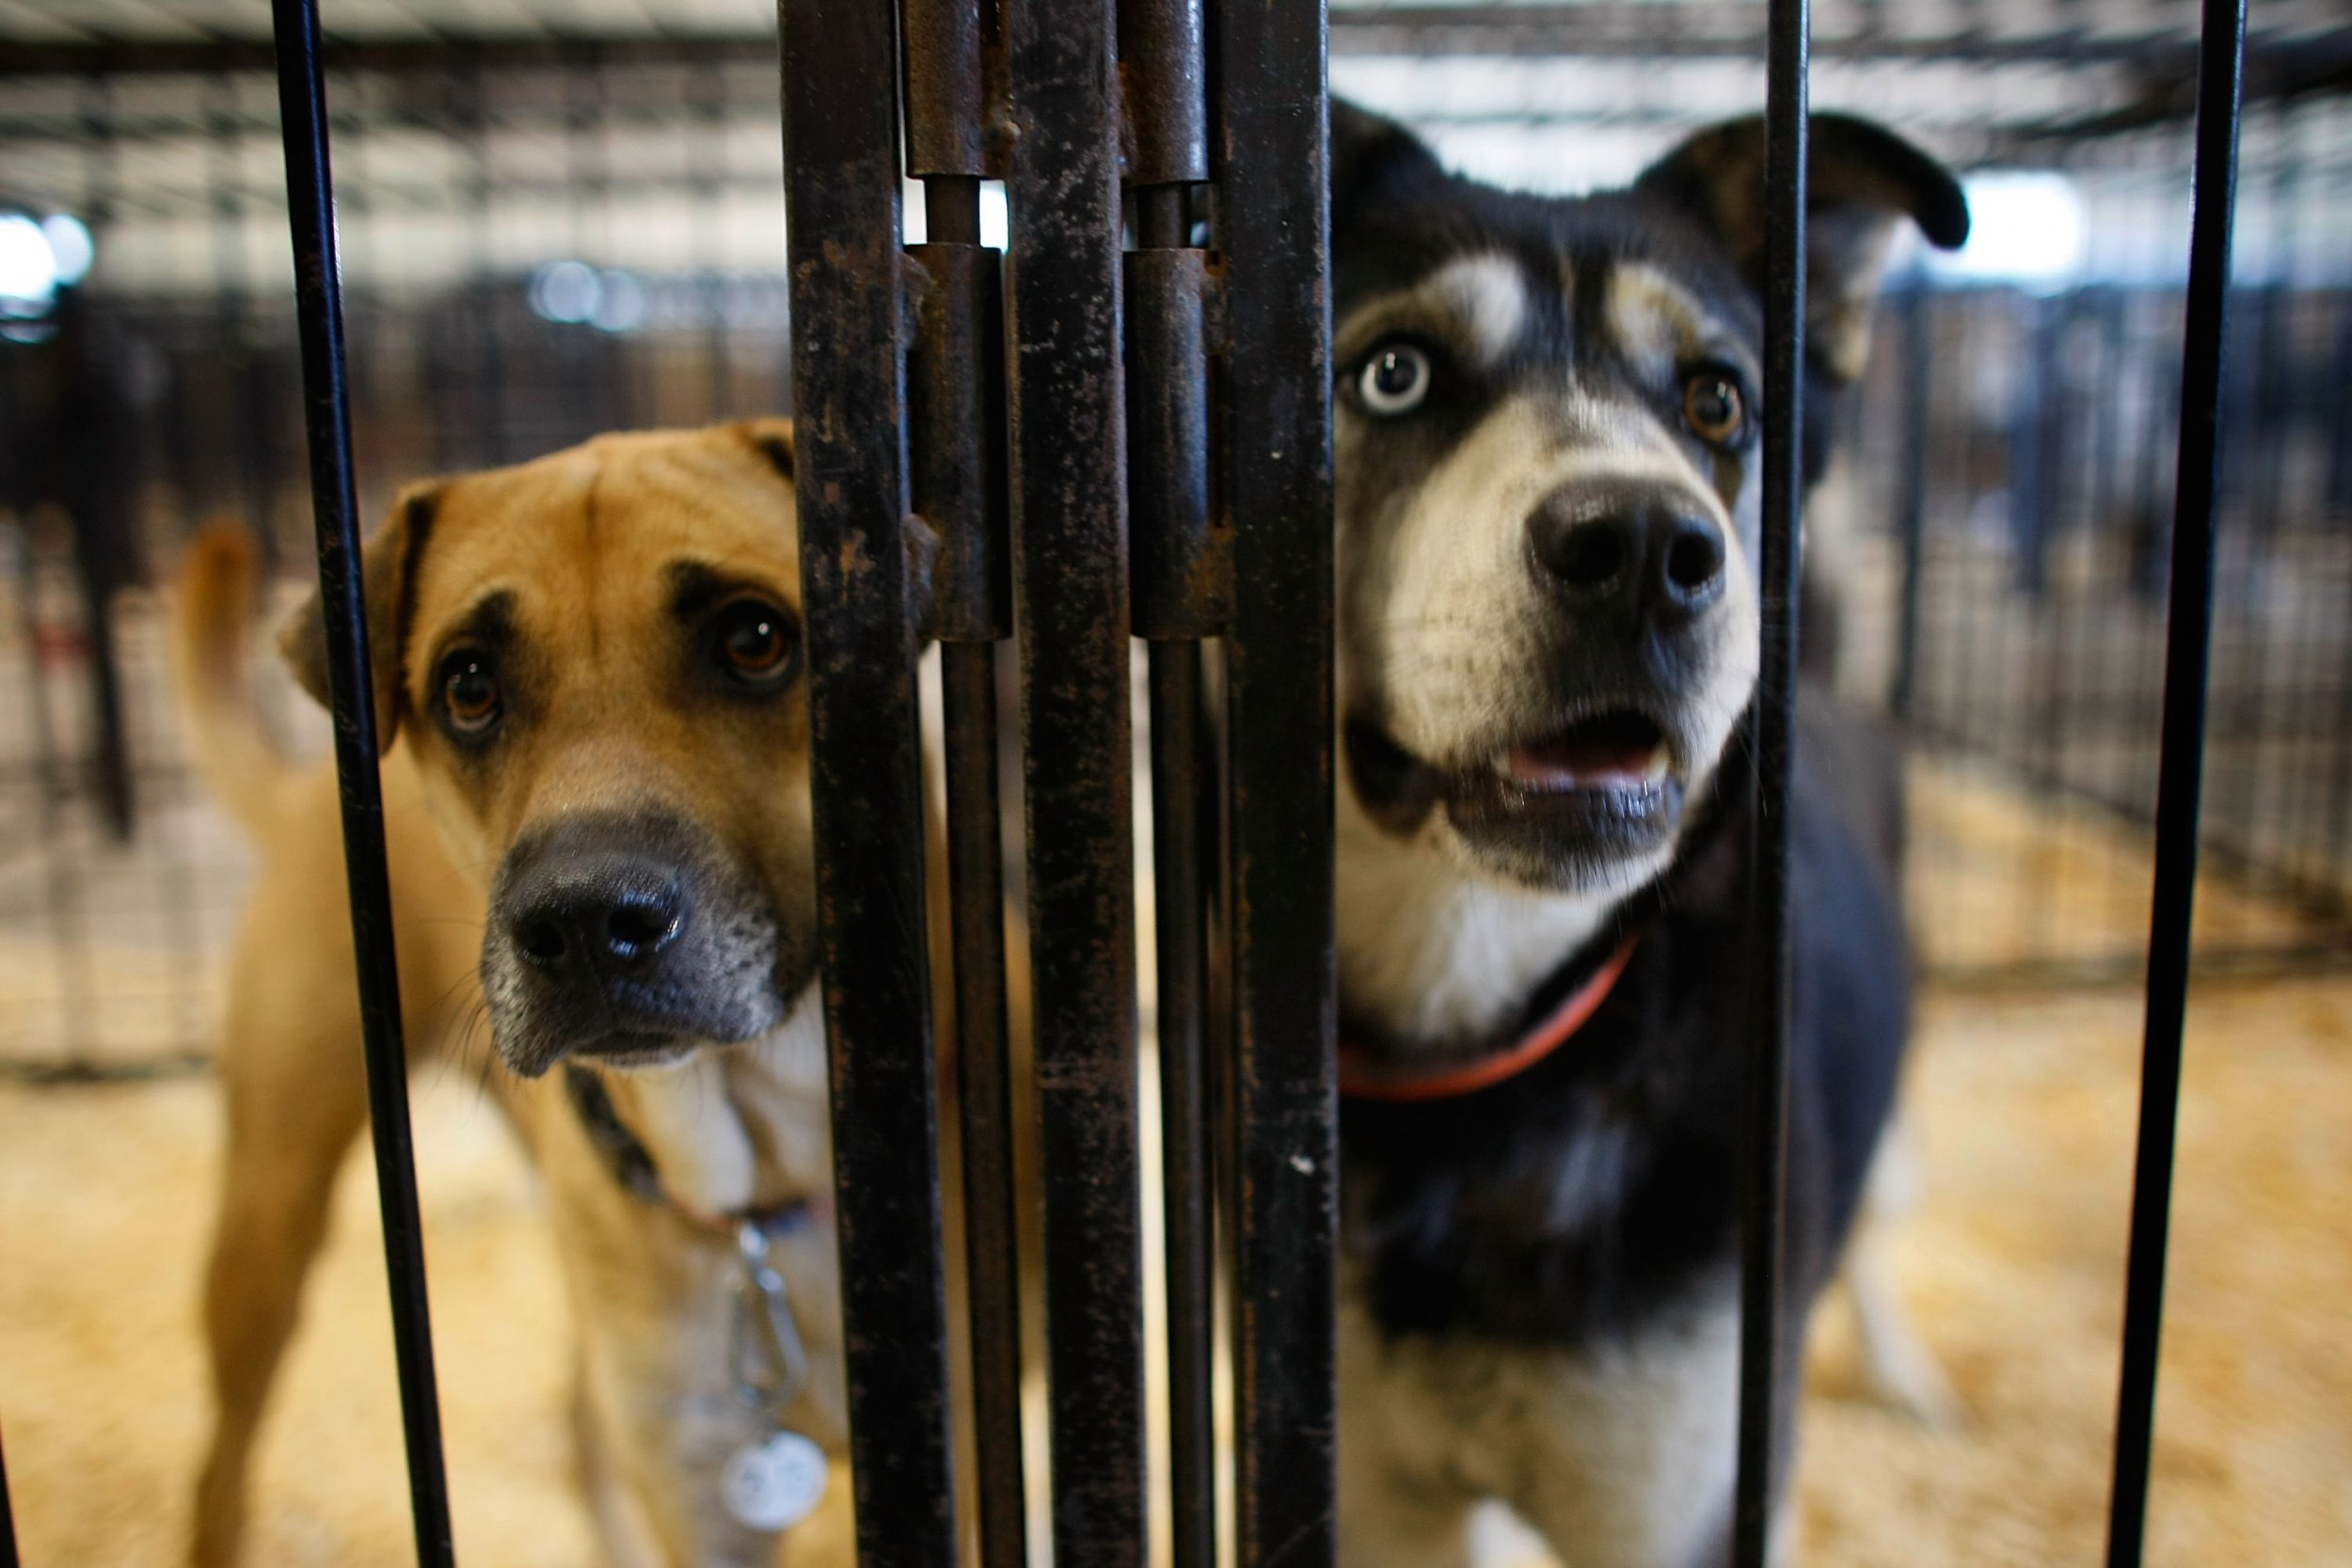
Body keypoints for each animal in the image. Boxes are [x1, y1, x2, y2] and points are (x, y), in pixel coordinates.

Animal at [171, 422, 875, 1560]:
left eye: (755, 639)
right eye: (468, 687)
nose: (585, 926)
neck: (762, 1192)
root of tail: (303, 785)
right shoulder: (700, 1485)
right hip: (269, 1206)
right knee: (222, 1463)